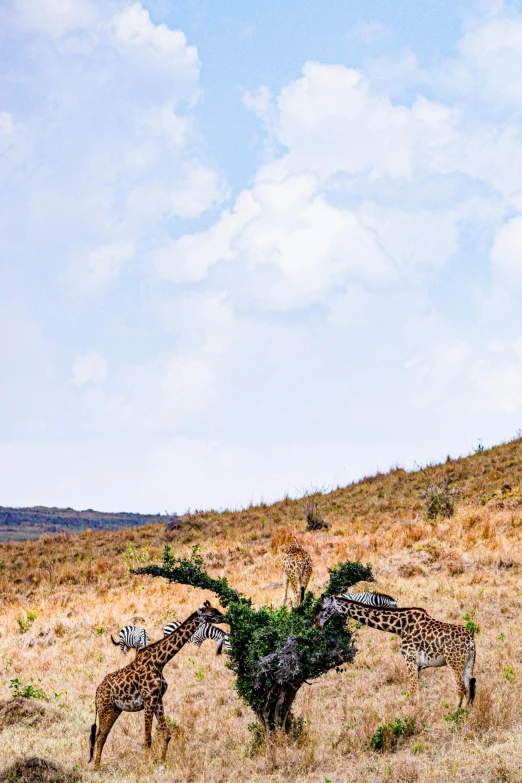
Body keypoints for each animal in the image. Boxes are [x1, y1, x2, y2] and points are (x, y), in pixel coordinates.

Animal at [314, 596, 474, 708]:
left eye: (324, 608)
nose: (317, 624)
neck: (399, 627)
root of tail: (470, 639)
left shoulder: (410, 659)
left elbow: (413, 694)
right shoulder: (418, 665)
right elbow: (415, 692)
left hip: (454, 663)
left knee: (460, 689)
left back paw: (453, 715)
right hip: (468, 663)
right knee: (468, 690)